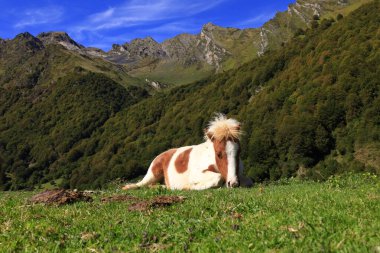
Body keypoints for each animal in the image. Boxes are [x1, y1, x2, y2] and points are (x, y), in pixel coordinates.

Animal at [121, 114, 252, 190]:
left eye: (239, 152)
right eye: (219, 154)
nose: (233, 183)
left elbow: (249, 181)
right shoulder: (195, 175)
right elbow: (218, 178)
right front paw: (188, 187)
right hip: (152, 175)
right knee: (140, 184)